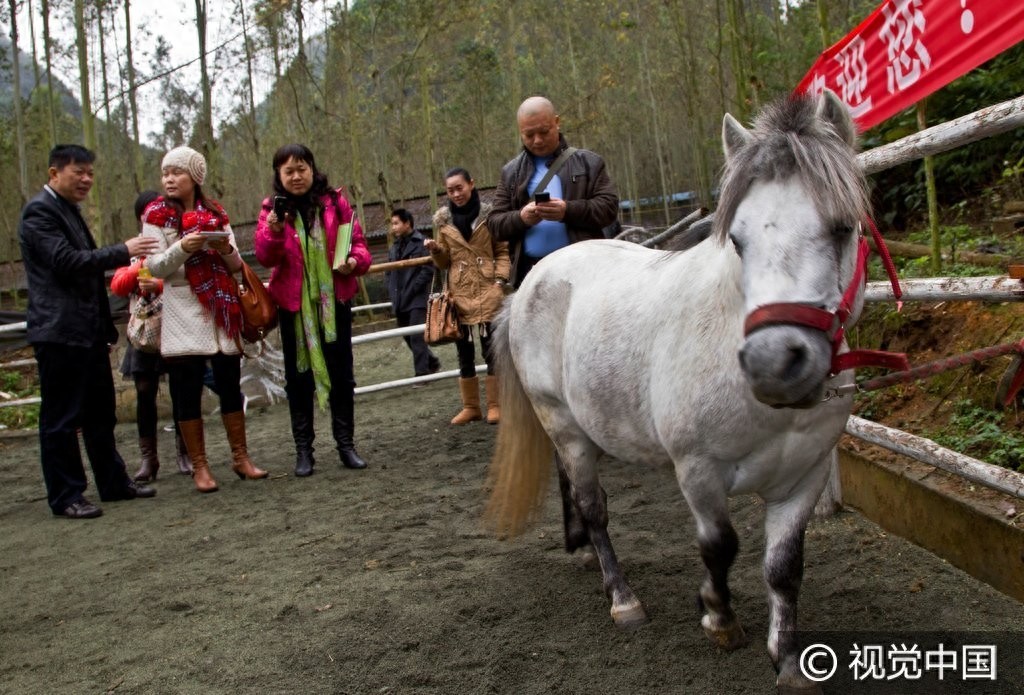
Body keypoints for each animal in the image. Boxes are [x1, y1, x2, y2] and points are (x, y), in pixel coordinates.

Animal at [486, 89, 870, 694]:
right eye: (737, 239)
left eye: (841, 227)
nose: (773, 365)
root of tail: (533, 280)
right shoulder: (698, 470)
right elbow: (721, 545)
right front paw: (717, 616)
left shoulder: (804, 477)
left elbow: (785, 567)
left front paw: (787, 659)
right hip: (562, 422)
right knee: (594, 506)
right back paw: (621, 597)